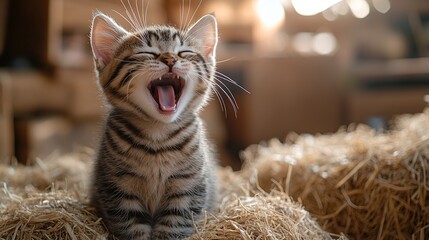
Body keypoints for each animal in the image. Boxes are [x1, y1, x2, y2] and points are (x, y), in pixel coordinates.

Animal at [89, 11, 217, 240]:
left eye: (184, 52)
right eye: (146, 53)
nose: (170, 59)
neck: (158, 134)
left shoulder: (188, 188)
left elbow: (174, 227)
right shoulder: (118, 190)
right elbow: (132, 228)